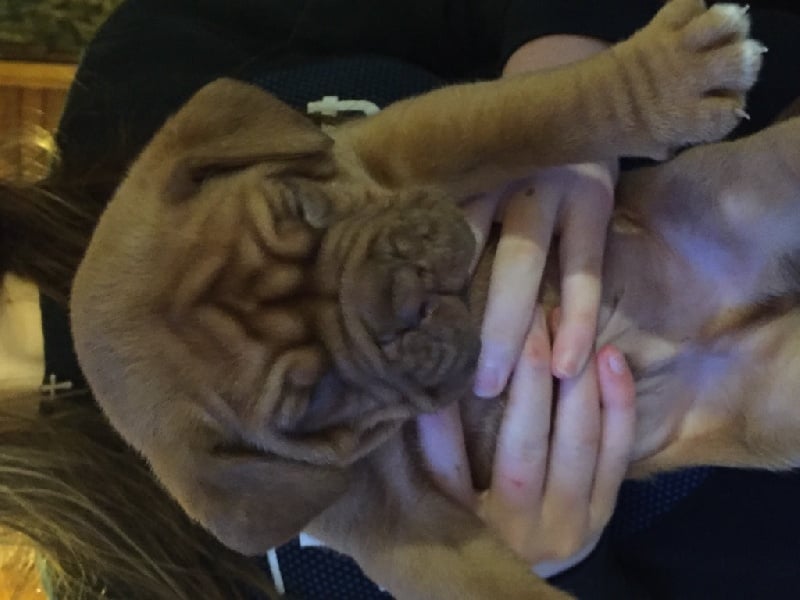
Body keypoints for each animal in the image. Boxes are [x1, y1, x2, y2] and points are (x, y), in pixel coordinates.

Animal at [70, 1, 772, 598]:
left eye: (305, 206)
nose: (403, 296)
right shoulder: (400, 530)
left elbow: (533, 113)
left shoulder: (396, 145)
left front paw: (672, 78)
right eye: (311, 398)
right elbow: (492, 585)